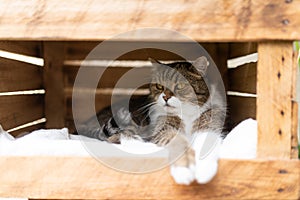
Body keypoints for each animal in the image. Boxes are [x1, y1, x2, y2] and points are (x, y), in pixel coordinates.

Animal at [76, 56, 226, 184]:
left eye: (180, 86)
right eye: (159, 86)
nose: (165, 97)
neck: (186, 114)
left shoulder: (210, 125)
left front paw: (204, 170)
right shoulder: (164, 129)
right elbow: (177, 142)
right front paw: (185, 169)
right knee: (120, 137)